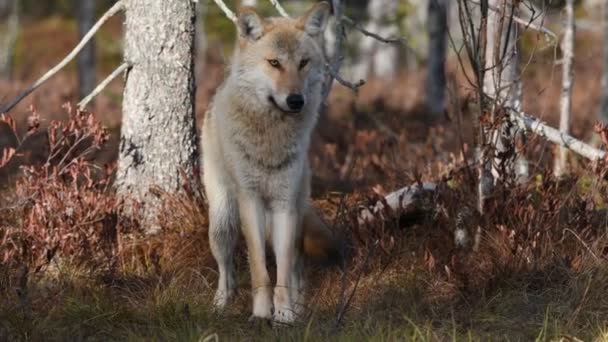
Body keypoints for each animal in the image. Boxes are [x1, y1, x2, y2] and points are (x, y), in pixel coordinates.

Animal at [202, 2, 340, 324]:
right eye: (274, 63)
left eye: (303, 63)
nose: (296, 100)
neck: (271, 140)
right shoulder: (250, 202)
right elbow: (259, 271)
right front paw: (261, 314)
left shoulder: (284, 204)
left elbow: (284, 270)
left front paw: (286, 315)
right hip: (223, 219)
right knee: (226, 269)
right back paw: (220, 303)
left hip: (298, 213)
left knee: (298, 263)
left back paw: (300, 307)